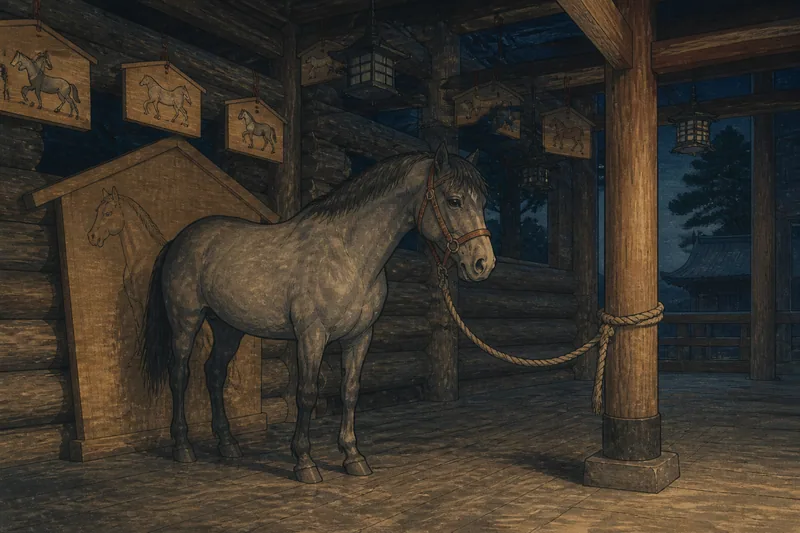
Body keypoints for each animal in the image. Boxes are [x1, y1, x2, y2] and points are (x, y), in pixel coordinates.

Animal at [137, 143, 495, 484]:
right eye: (454, 201)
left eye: (481, 203)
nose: (483, 264)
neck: (350, 255)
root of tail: (180, 239)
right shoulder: (312, 335)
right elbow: (307, 394)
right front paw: (304, 462)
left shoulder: (360, 337)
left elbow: (350, 391)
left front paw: (353, 457)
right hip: (186, 321)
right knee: (180, 374)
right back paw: (183, 447)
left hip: (228, 327)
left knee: (214, 373)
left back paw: (228, 445)